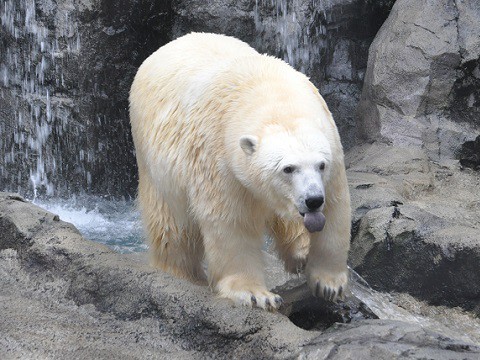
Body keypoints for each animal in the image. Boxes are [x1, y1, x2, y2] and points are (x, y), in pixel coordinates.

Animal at [129, 32, 350, 310]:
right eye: (287, 169)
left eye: (321, 164)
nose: (312, 200)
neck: (273, 97)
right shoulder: (220, 160)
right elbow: (233, 223)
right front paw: (257, 294)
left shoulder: (332, 148)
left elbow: (335, 208)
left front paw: (328, 284)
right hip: (153, 159)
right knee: (171, 225)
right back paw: (184, 274)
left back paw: (299, 252)